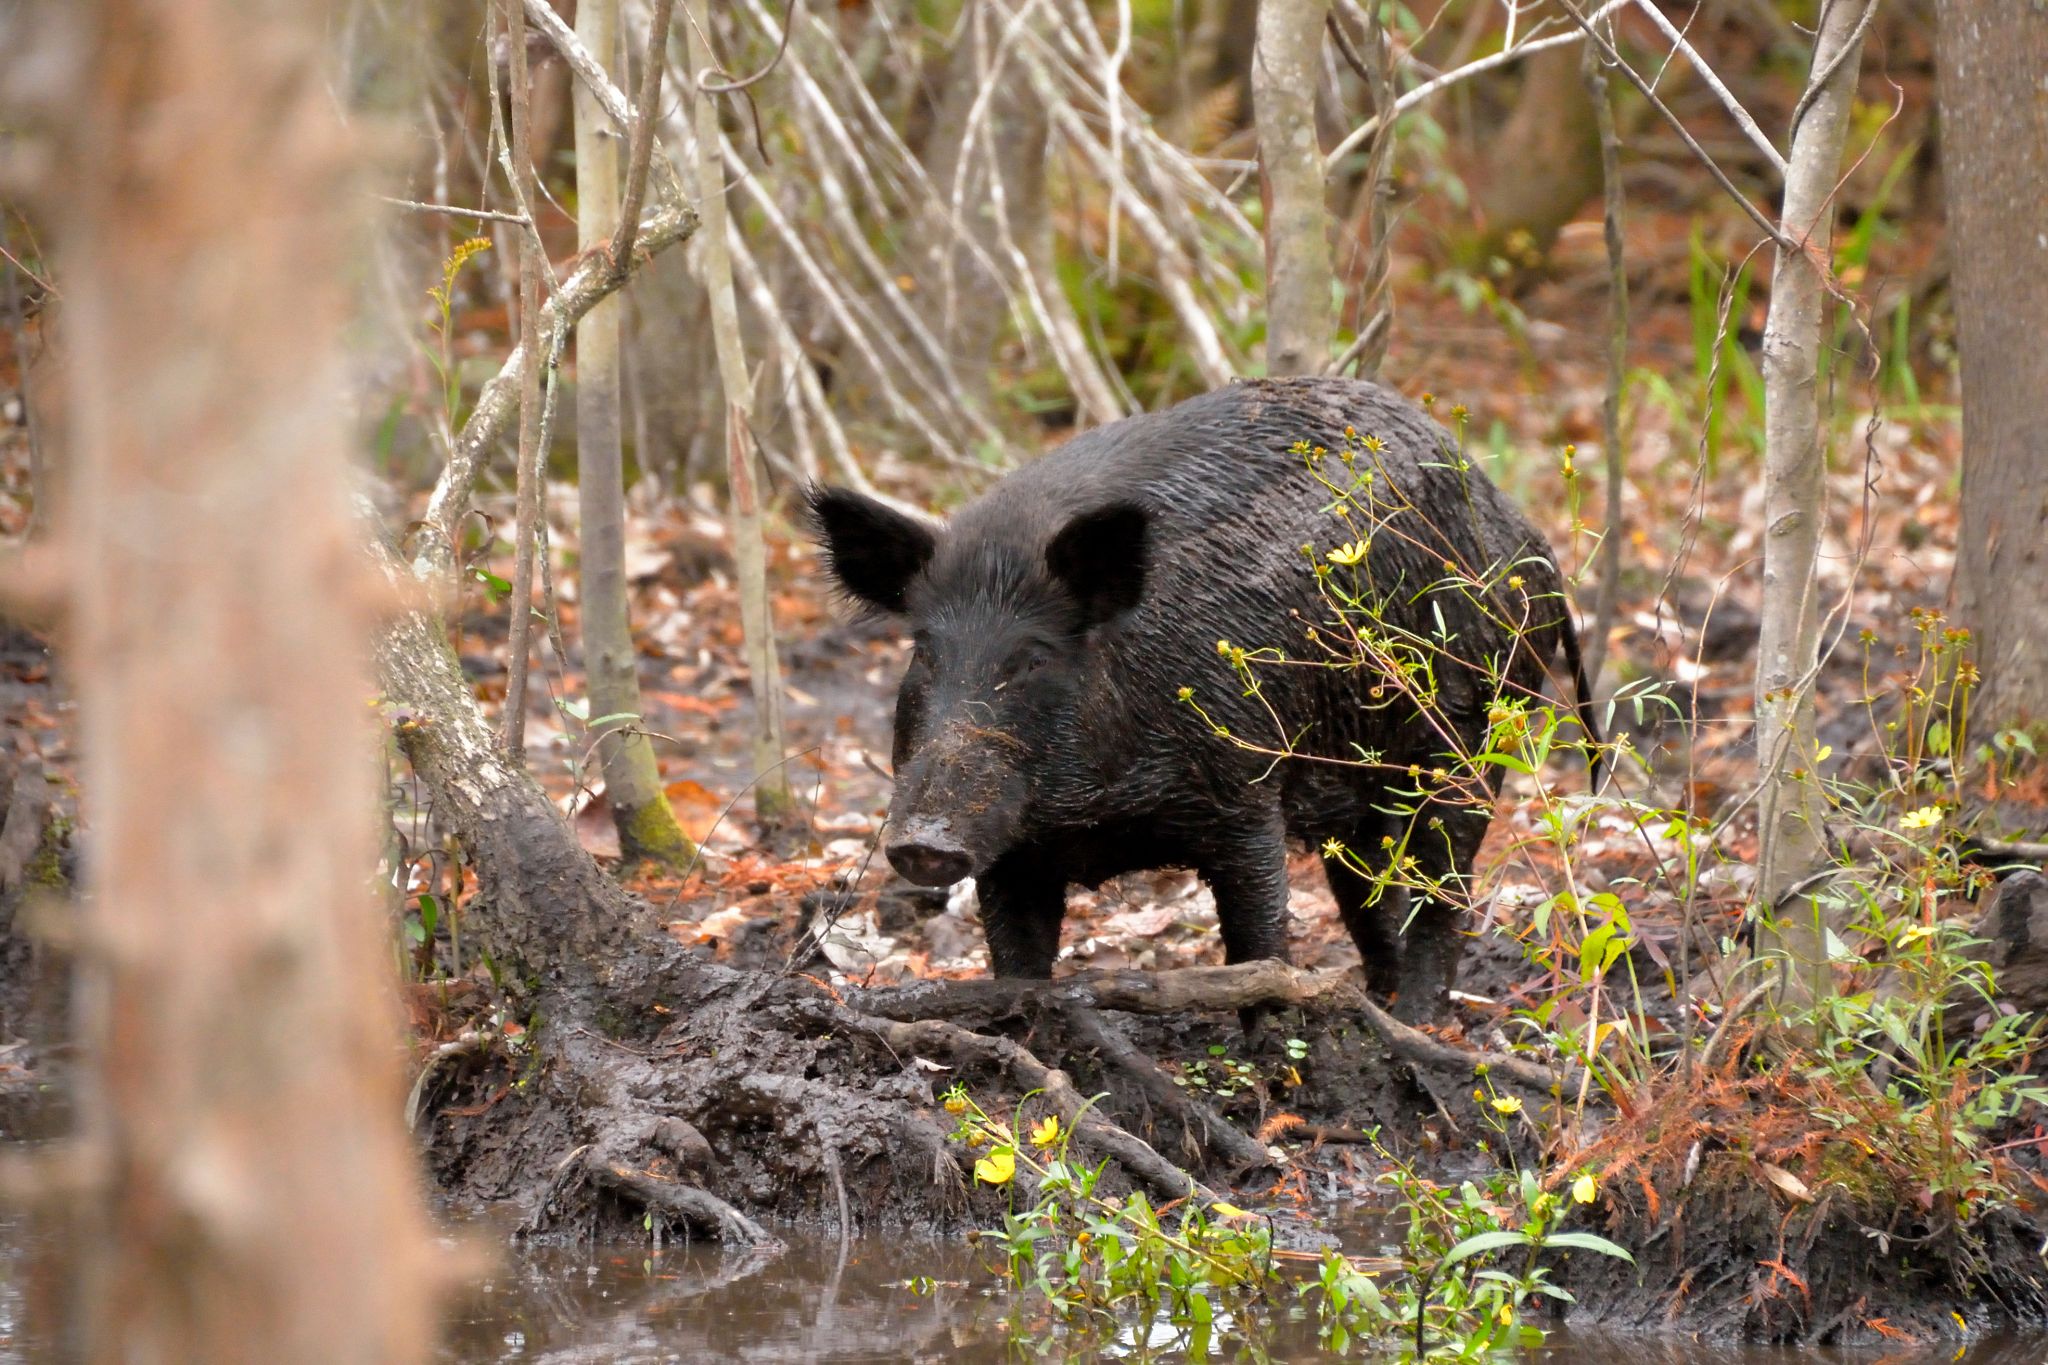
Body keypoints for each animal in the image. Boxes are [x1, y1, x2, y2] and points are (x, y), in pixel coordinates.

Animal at [802, 378, 1597, 1019]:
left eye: (1031, 657)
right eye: (924, 650)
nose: (922, 841)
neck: (1098, 816)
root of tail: (1525, 534)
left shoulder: (1244, 794)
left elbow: (1259, 950)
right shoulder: (1012, 847)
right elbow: (1018, 967)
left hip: (1474, 728)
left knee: (1445, 884)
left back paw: (1419, 1023)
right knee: (1372, 887)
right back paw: (1380, 999)